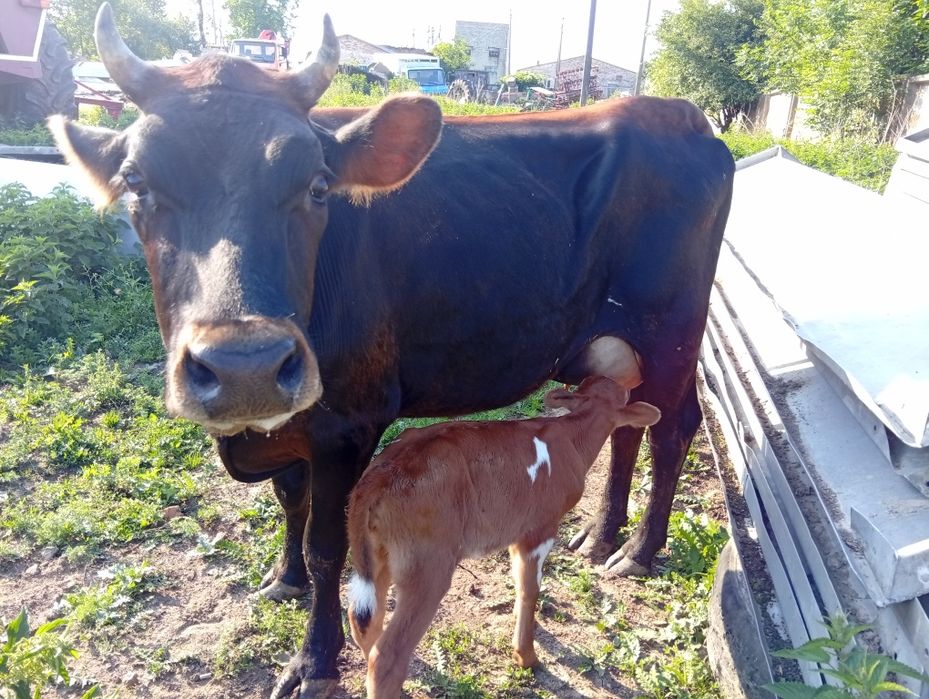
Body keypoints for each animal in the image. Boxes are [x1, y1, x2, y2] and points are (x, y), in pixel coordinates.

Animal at [49, 5, 734, 696]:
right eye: (136, 182)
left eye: (318, 185)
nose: (247, 368)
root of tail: (680, 115)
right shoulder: (291, 421)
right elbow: (290, 501)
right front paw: (285, 579)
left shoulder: (348, 425)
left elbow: (329, 545)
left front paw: (315, 661)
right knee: (627, 424)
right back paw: (599, 535)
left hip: (673, 334)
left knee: (672, 428)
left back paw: (637, 551)